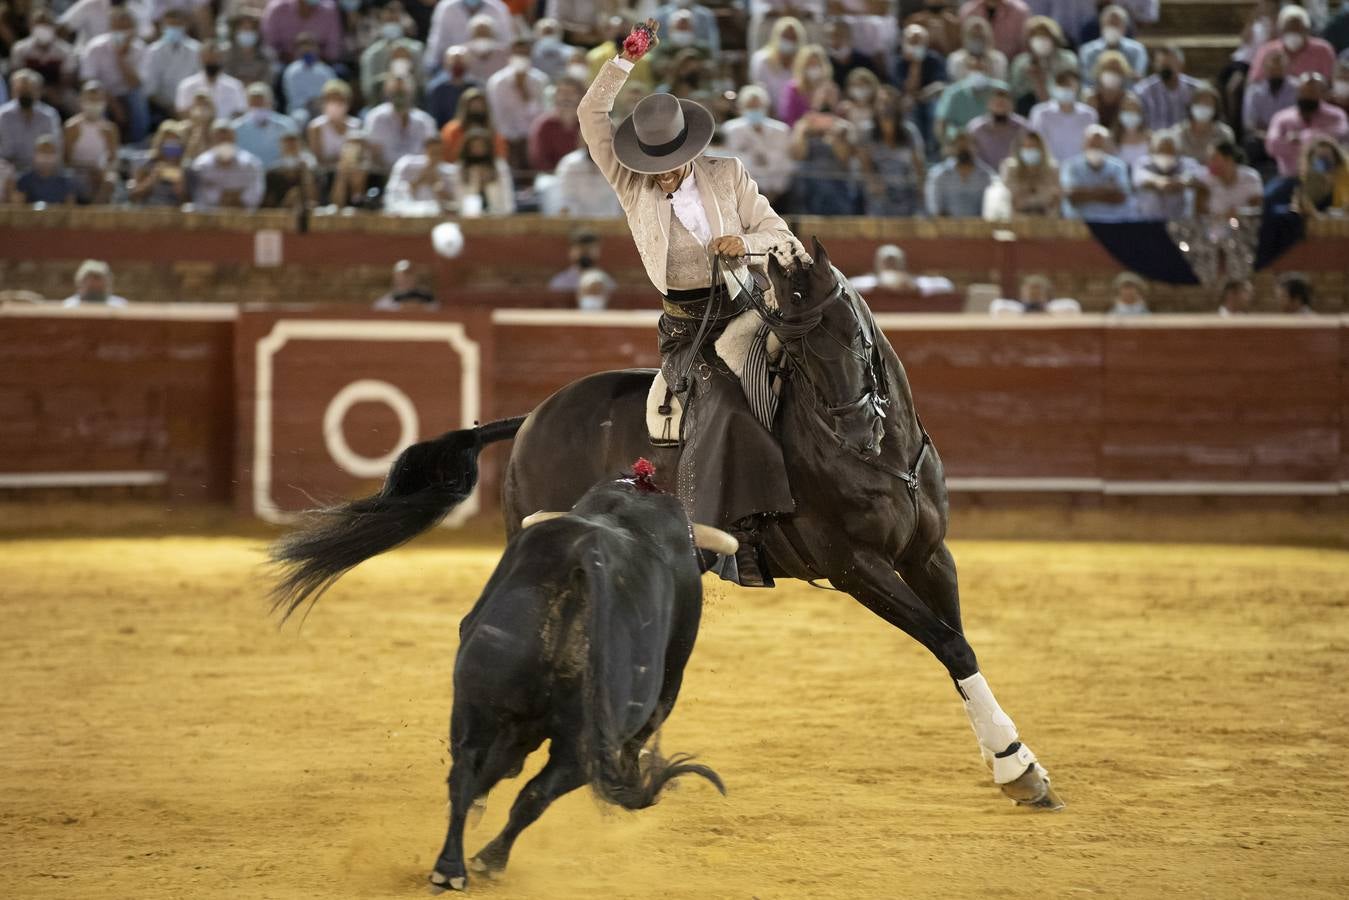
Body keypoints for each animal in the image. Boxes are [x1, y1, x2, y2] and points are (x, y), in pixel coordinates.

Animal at [271, 237, 1063, 809]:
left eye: (852, 330)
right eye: (793, 345)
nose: (854, 429)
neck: (879, 459)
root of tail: (531, 418)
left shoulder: (930, 553)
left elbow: (957, 640)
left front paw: (1016, 766)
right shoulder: (852, 567)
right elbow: (947, 641)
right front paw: (1014, 765)